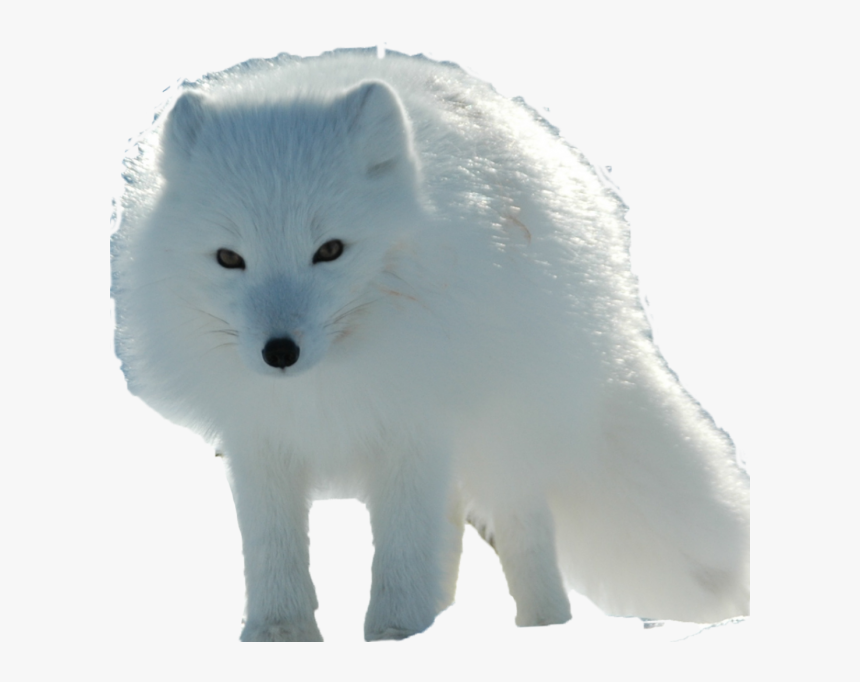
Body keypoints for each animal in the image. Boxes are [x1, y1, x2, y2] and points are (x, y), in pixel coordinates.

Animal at [111, 48, 750, 641]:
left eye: (330, 250)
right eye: (228, 258)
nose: (279, 352)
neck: (327, 386)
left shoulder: (413, 428)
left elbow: (401, 552)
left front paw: (393, 634)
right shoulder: (260, 439)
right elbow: (274, 550)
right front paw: (280, 635)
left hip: (504, 437)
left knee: (522, 530)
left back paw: (542, 626)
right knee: (450, 525)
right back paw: (440, 616)